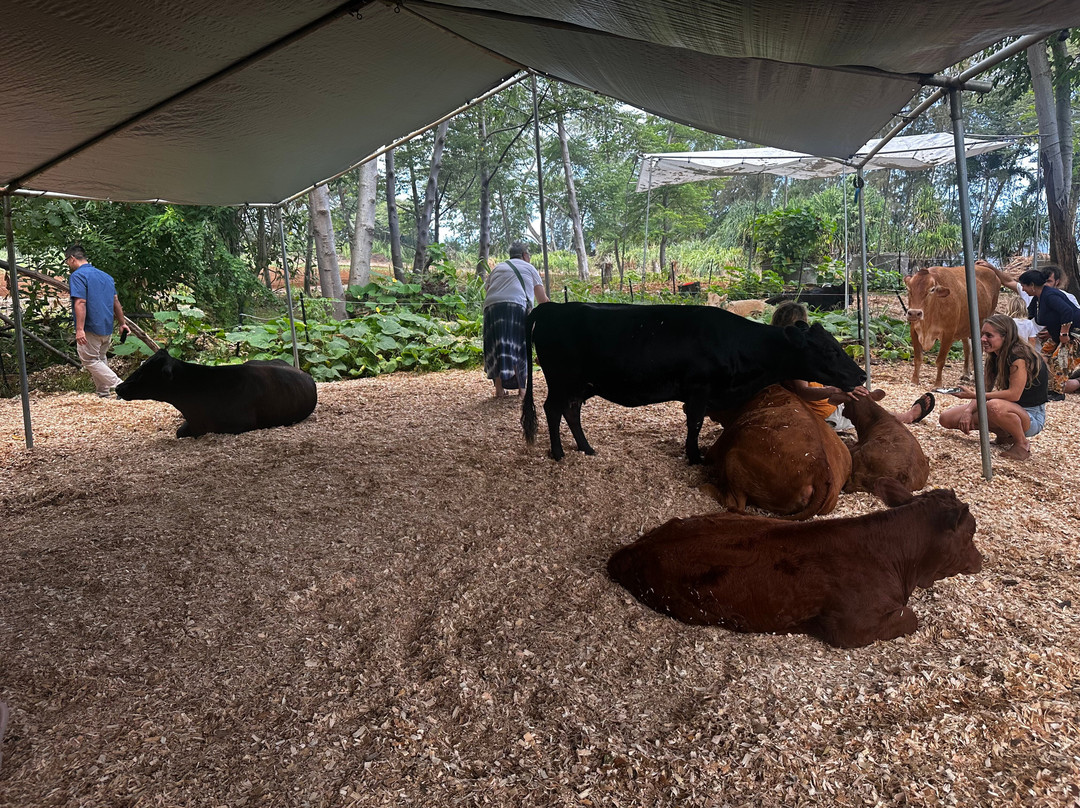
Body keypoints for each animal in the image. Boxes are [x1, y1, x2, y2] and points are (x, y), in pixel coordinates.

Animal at [521, 302, 865, 464]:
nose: (861, 375)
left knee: (571, 410)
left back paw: (586, 448)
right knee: (552, 409)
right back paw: (558, 453)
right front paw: (695, 456)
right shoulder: (700, 390)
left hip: (581, 384)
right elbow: (695, 424)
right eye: (829, 350)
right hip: (562, 380)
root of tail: (553, 306)